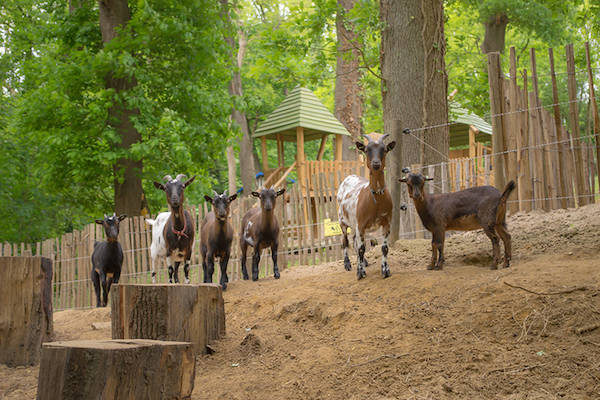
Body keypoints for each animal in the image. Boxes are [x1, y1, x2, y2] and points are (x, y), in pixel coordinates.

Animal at [340, 133, 396, 280]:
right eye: (367, 150)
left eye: (384, 149)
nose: (376, 163)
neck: (375, 201)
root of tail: (350, 176)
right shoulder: (361, 224)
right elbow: (361, 248)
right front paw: (360, 273)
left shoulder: (387, 223)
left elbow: (384, 248)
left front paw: (385, 271)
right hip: (343, 221)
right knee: (345, 241)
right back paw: (348, 264)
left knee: (354, 241)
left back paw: (364, 261)